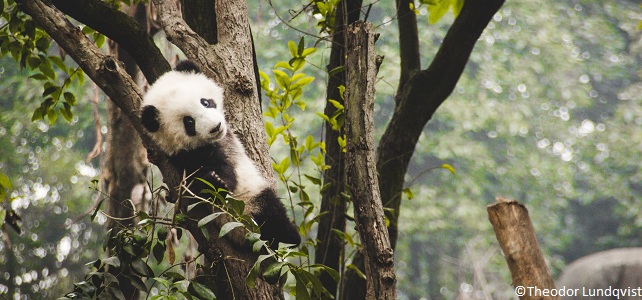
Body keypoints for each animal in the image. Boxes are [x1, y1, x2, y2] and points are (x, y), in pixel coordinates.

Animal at [140, 60, 300, 246]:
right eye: (189, 122)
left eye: (205, 102)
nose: (216, 127)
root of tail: (243, 232)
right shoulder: (187, 155)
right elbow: (209, 177)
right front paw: (215, 180)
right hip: (250, 202)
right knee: (272, 211)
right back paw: (291, 235)